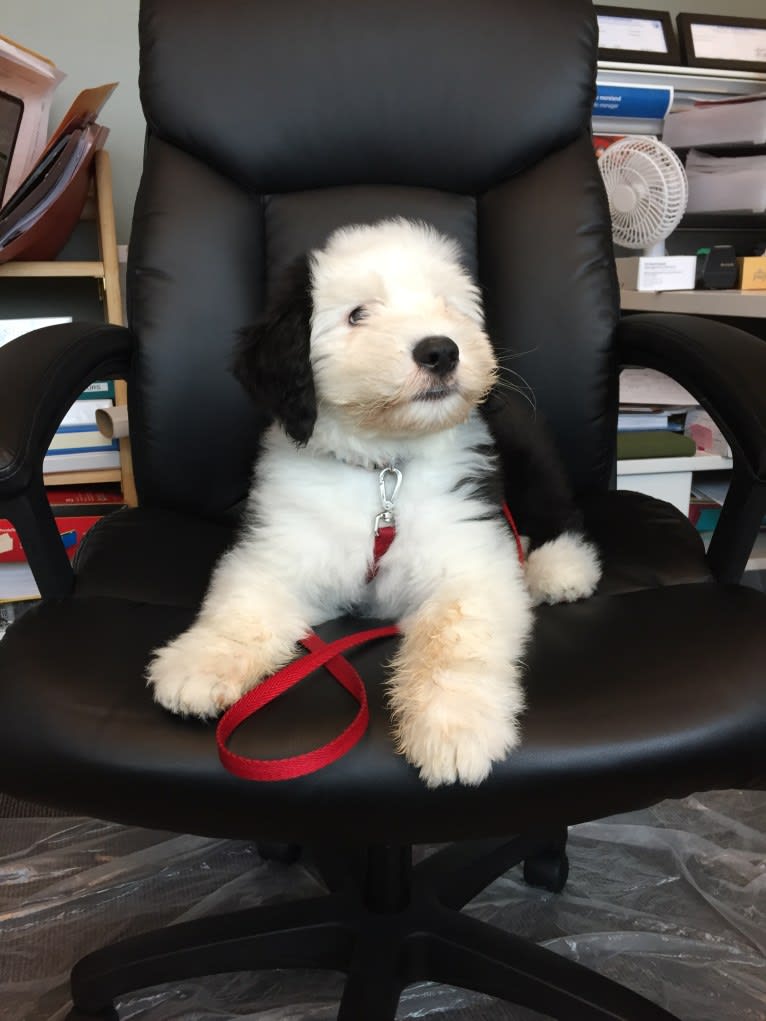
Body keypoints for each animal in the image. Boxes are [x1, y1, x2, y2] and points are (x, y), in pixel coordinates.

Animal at [147, 217, 604, 788]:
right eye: (358, 313)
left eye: (448, 304)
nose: (441, 350)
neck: (384, 473)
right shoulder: (279, 549)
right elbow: (241, 608)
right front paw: (197, 665)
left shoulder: (471, 561)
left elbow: (455, 639)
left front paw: (454, 728)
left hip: (525, 450)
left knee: (558, 508)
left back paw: (559, 569)